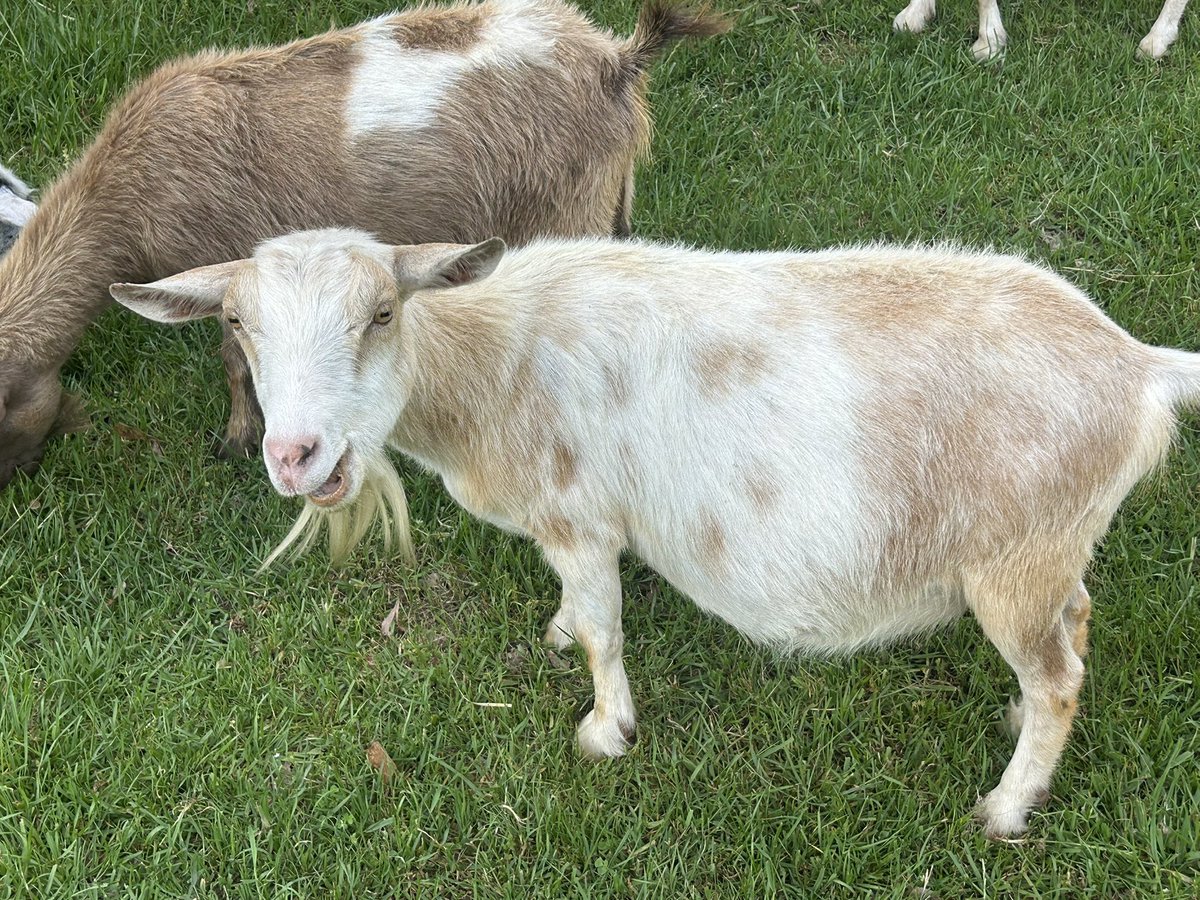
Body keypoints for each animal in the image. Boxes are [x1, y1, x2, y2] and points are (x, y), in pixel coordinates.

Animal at [0, 0, 728, 489]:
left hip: (564, 210)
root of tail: (617, 61)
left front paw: (238, 441)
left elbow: (235, 359)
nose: (17, 480)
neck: (127, 189)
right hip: (608, 204)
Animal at [112, 229, 1200, 837]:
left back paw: (1007, 808)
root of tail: (1139, 367)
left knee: (1059, 680)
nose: (296, 454)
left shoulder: (581, 513)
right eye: (238, 325)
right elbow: (578, 612)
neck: (490, 361)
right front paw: (555, 634)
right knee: (1076, 625)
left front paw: (605, 731)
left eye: (382, 312)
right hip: (1052, 548)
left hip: (1014, 559)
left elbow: (605, 628)